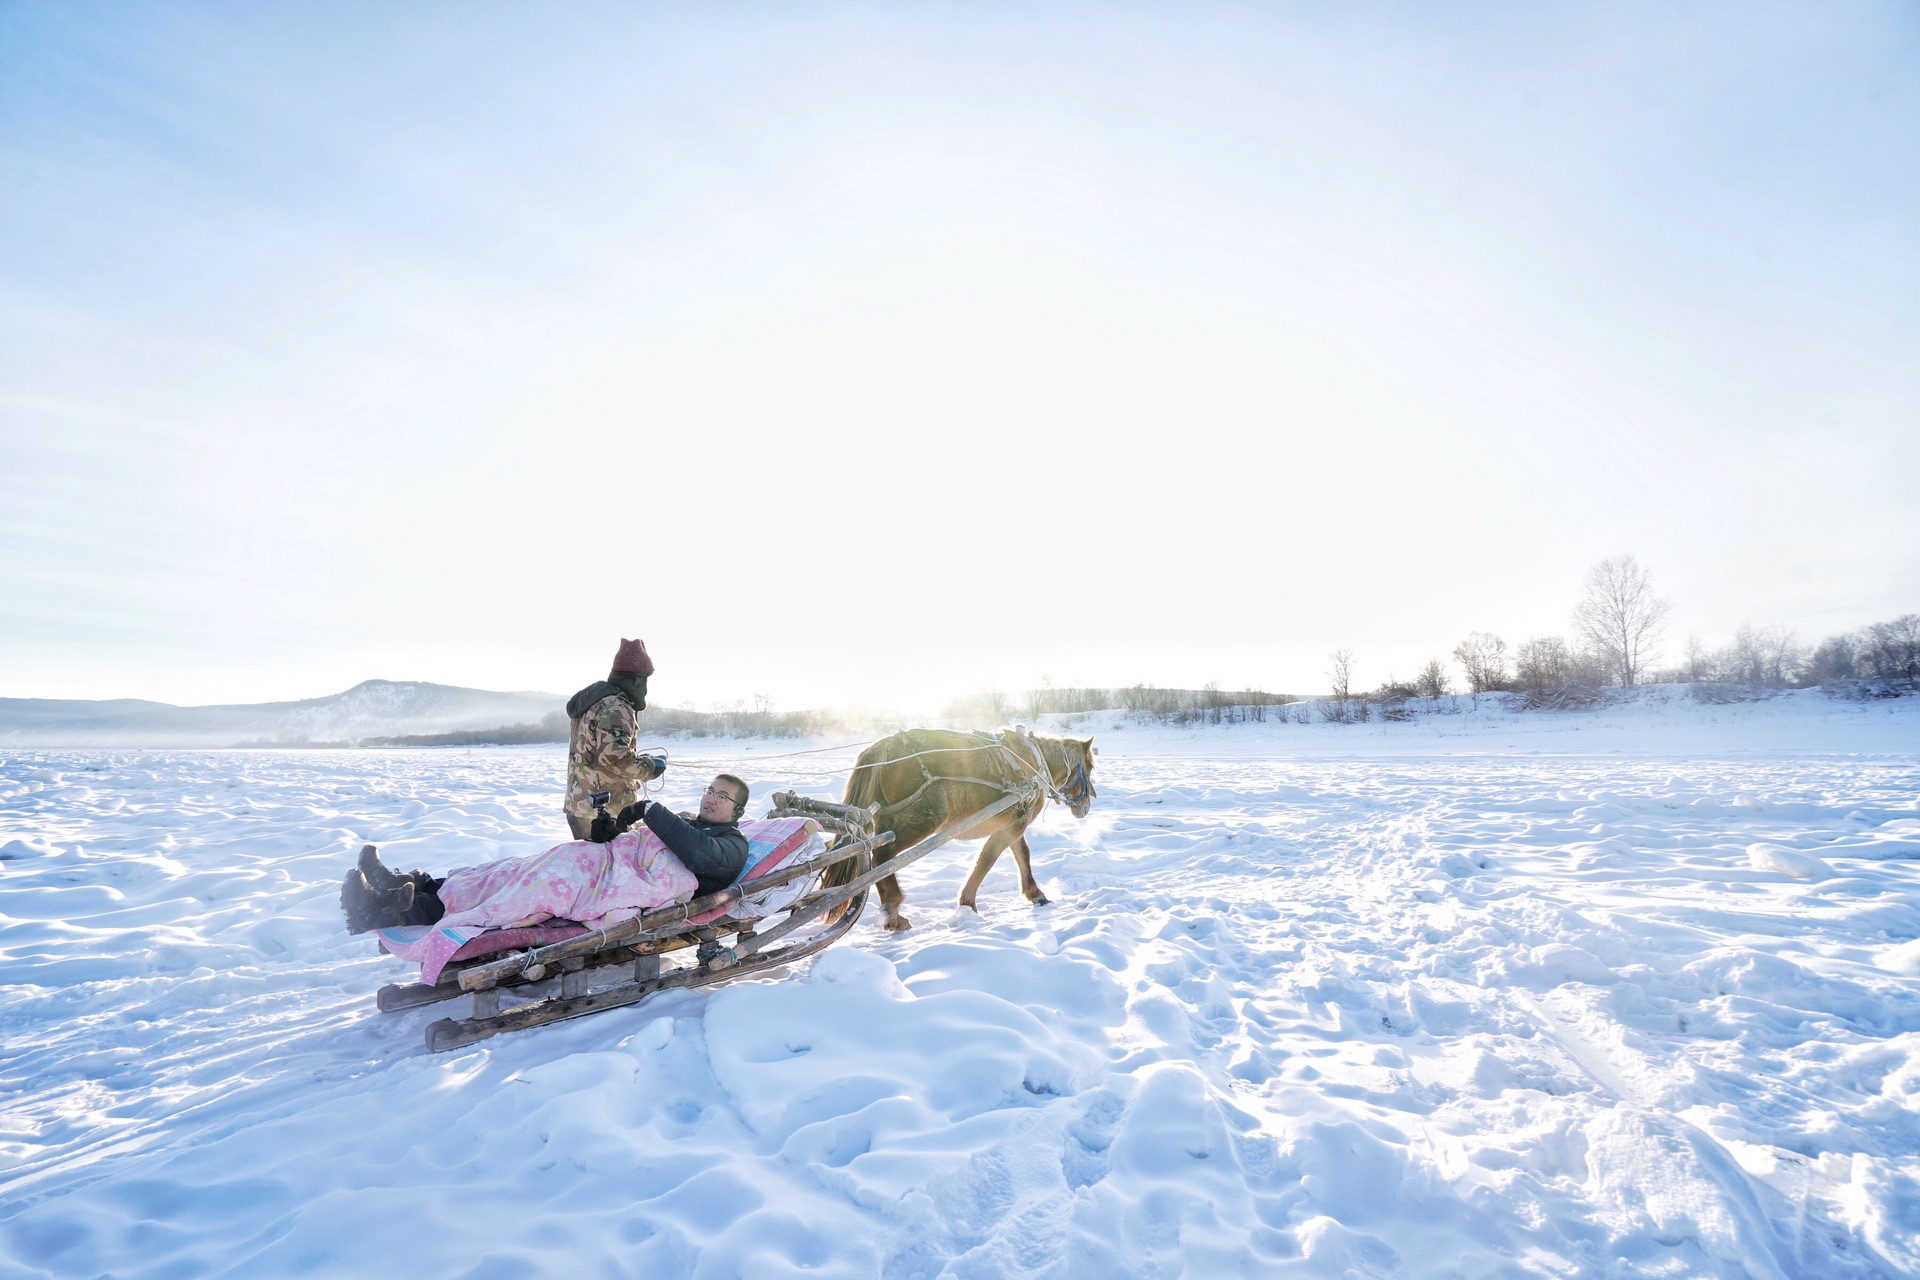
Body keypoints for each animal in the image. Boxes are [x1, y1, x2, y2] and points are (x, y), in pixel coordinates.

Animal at [821, 729, 1098, 932]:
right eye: (1089, 767)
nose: (1086, 806)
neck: (1032, 762)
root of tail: (882, 747)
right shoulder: (1012, 825)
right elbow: (987, 860)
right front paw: (968, 904)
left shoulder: (1013, 823)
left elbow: (1022, 854)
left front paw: (1036, 894)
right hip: (923, 821)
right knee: (881, 858)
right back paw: (894, 910)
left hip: (890, 820)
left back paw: (893, 914)